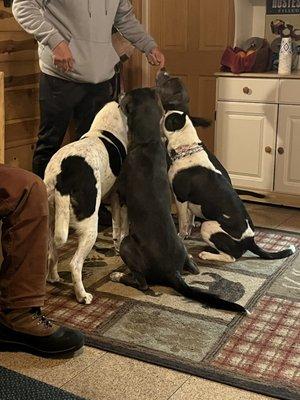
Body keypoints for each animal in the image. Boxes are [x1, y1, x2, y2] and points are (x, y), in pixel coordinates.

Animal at [44, 101, 129, 304]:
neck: (103, 129)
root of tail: (63, 178)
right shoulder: (118, 197)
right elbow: (119, 228)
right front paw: (118, 247)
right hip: (90, 227)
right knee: (75, 264)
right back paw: (82, 295)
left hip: (52, 223)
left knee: (52, 253)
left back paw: (54, 278)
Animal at [110, 86, 246, 312]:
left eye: (128, 94)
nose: (119, 92)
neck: (149, 142)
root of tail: (171, 272)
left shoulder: (120, 196)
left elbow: (121, 223)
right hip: (185, 256)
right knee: (195, 269)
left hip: (129, 247)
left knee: (143, 283)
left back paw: (118, 275)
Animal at [162, 111, 296, 264]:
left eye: (168, 118)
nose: (163, 112)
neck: (187, 149)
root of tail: (250, 240)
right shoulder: (189, 203)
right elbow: (189, 219)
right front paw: (188, 231)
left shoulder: (180, 198)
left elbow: (183, 222)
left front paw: (181, 237)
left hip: (208, 226)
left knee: (231, 257)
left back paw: (207, 255)